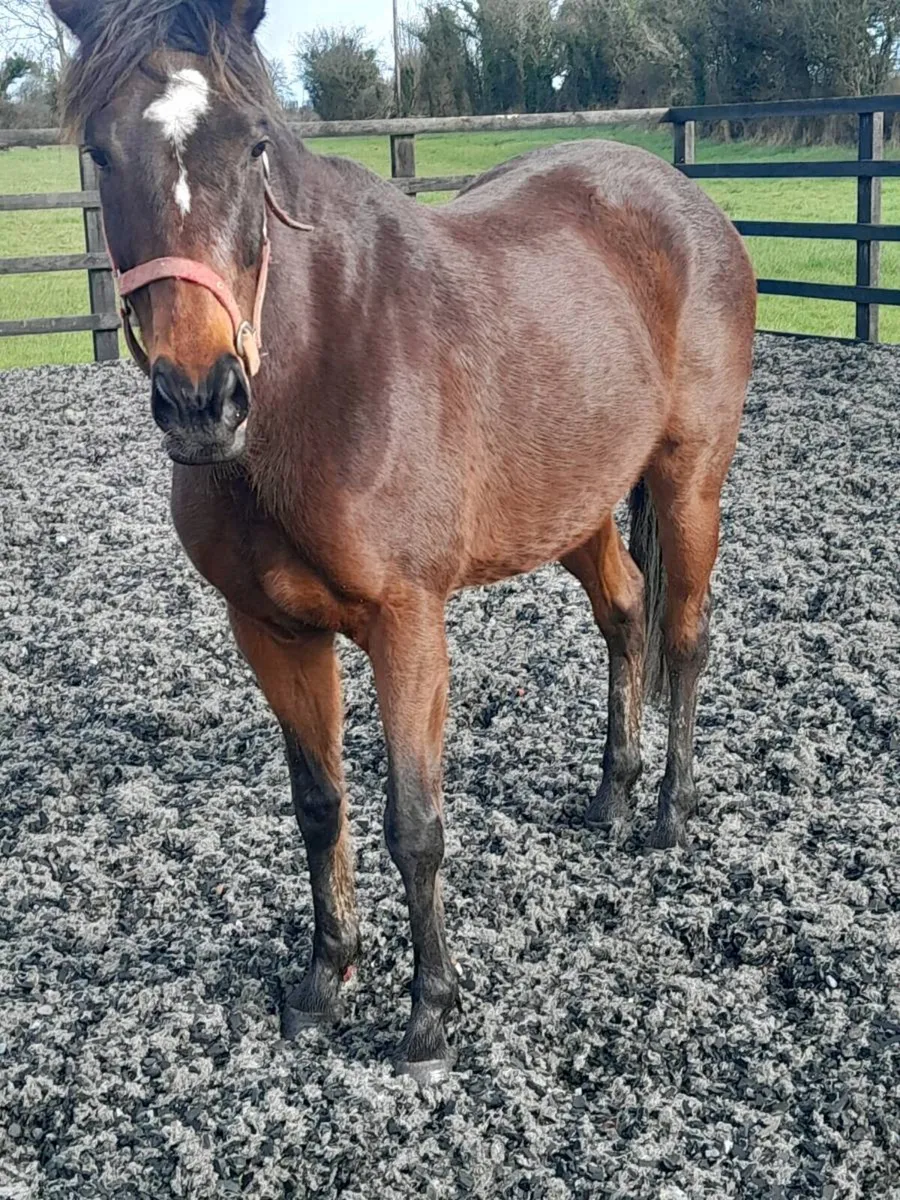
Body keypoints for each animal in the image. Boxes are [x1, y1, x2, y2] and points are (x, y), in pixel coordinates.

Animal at [50, 0, 756, 1084]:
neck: (323, 370)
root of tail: (690, 203)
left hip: (690, 481)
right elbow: (319, 805)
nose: (201, 399)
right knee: (626, 613)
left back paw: (671, 814)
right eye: (99, 149)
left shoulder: (407, 625)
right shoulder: (270, 630)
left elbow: (414, 824)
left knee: (682, 633)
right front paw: (322, 980)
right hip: (578, 505)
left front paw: (428, 1017)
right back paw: (612, 796)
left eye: (253, 144)